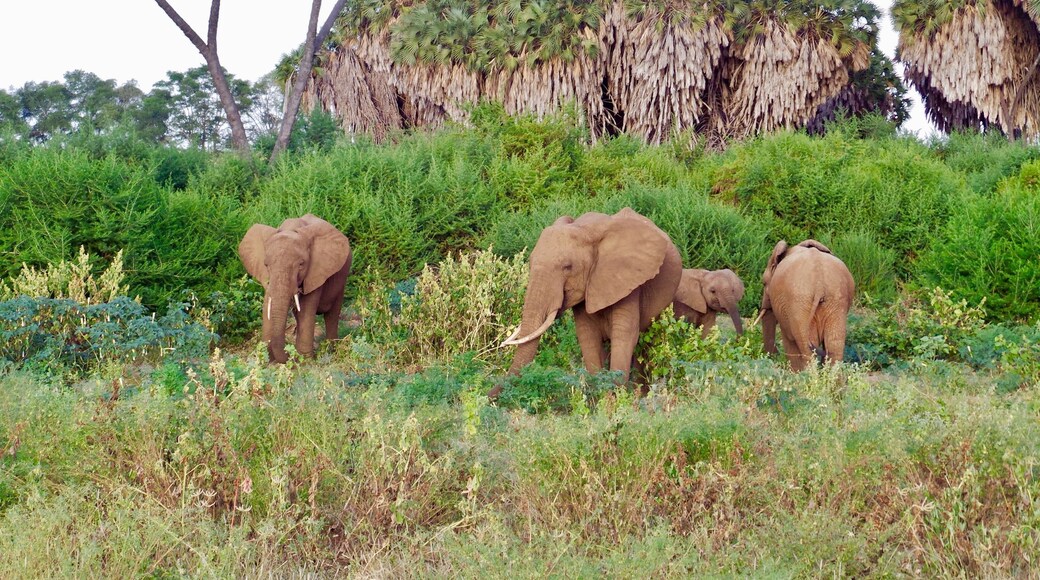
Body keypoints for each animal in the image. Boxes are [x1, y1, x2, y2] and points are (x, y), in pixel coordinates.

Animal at [238, 214, 352, 363]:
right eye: (266, 264)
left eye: (301, 264)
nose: (288, 354)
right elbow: (268, 304)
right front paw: (267, 359)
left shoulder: (316, 272)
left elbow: (306, 310)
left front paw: (304, 360)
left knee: (332, 314)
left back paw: (331, 350)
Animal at [499, 207, 682, 384]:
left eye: (568, 267)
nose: (502, 344)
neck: (586, 230)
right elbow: (587, 336)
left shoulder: (629, 282)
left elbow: (624, 336)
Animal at [760, 239, 854, 371]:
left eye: (764, 283)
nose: (775, 356)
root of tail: (819, 284)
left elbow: (789, 339)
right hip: (836, 300)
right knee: (834, 344)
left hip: (799, 302)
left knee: (806, 344)